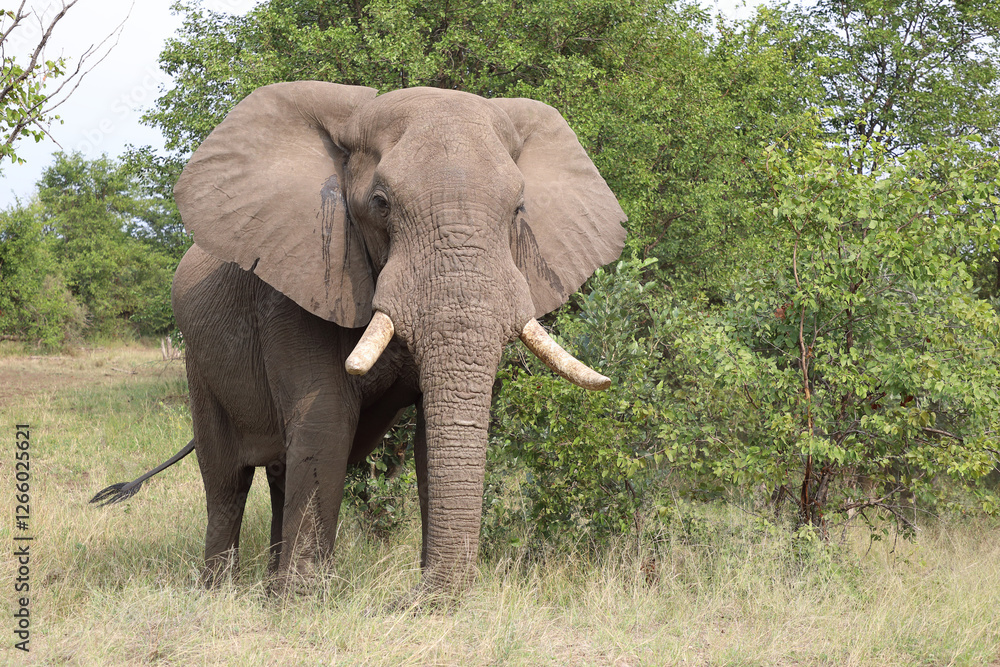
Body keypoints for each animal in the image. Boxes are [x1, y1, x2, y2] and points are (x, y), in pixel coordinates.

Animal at [92, 82, 626, 598]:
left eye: (518, 209)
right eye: (381, 204)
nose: (411, 596)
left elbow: (429, 436)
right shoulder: (297, 286)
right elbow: (326, 416)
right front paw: (307, 602)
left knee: (280, 470)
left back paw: (268, 589)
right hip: (199, 366)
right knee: (226, 479)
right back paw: (220, 593)